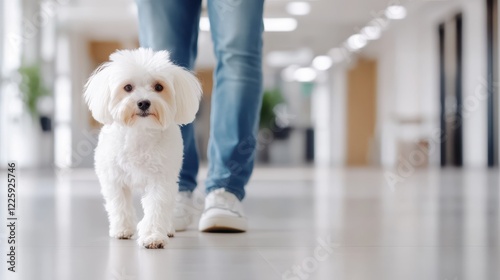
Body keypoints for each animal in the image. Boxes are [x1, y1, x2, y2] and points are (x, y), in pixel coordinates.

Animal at [84, 48, 201, 249]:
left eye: (159, 87)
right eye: (128, 87)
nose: (144, 102)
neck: (140, 132)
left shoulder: (161, 180)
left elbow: (156, 207)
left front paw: (153, 236)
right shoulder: (114, 179)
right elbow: (119, 205)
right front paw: (122, 229)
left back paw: (168, 228)